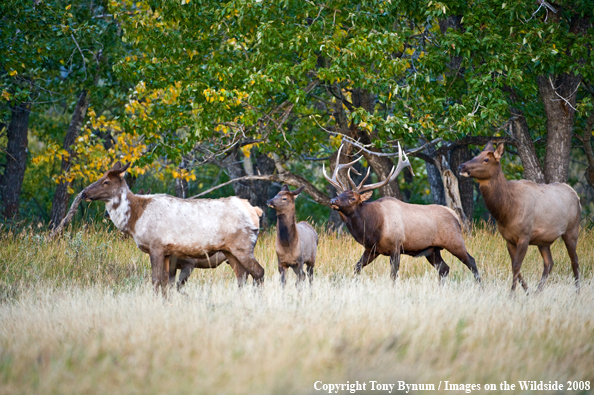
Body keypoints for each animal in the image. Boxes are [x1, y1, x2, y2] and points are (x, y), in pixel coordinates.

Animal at [79, 162, 264, 296]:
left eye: (106, 182)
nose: (84, 193)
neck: (134, 220)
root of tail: (255, 210)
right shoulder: (168, 252)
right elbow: (165, 283)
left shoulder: (156, 246)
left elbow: (156, 280)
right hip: (229, 251)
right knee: (242, 276)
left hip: (243, 246)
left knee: (258, 272)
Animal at [322, 144, 478, 284]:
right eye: (340, 193)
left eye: (352, 198)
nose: (333, 200)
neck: (373, 229)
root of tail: (454, 215)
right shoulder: (371, 249)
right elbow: (357, 268)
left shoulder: (396, 246)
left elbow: (393, 275)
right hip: (432, 250)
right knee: (444, 268)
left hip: (455, 241)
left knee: (471, 261)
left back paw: (479, 286)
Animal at [458, 142, 580, 290]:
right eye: (476, 155)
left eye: (486, 159)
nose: (461, 166)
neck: (506, 212)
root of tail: (576, 195)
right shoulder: (509, 239)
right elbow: (514, 266)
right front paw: (527, 291)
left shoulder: (524, 236)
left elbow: (516, 266)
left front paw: (513, 293)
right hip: (543, 240)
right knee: (549, 263)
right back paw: (537, 291)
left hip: (572, 230)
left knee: (575, 261)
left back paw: (577, 291)